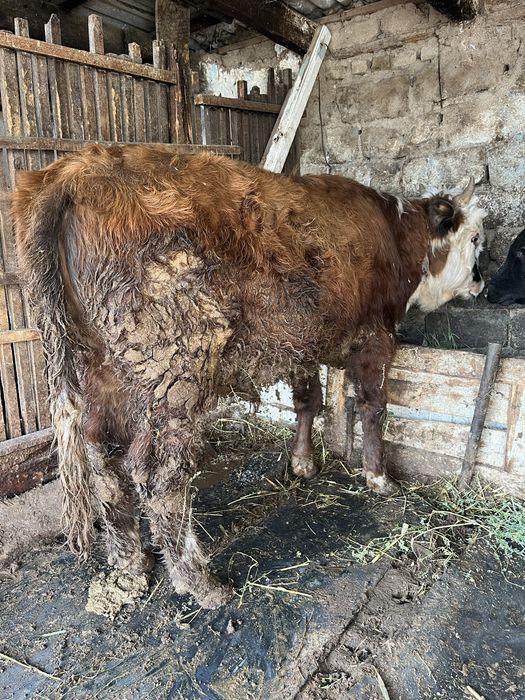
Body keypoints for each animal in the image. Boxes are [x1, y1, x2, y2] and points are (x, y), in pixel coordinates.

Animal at [11, 144, 485, 608]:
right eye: (476, 238)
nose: (481, 283)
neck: (395, 232)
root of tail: (76, 166)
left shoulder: (303, 342)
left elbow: (308, 401)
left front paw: (302, 463)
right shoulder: (376, 337)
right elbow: (373, 408)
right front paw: (379, 478)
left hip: (100, 369)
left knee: (103, 460)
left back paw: (130, 564)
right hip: (175, 369)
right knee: (159, 477)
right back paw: (200, 582)